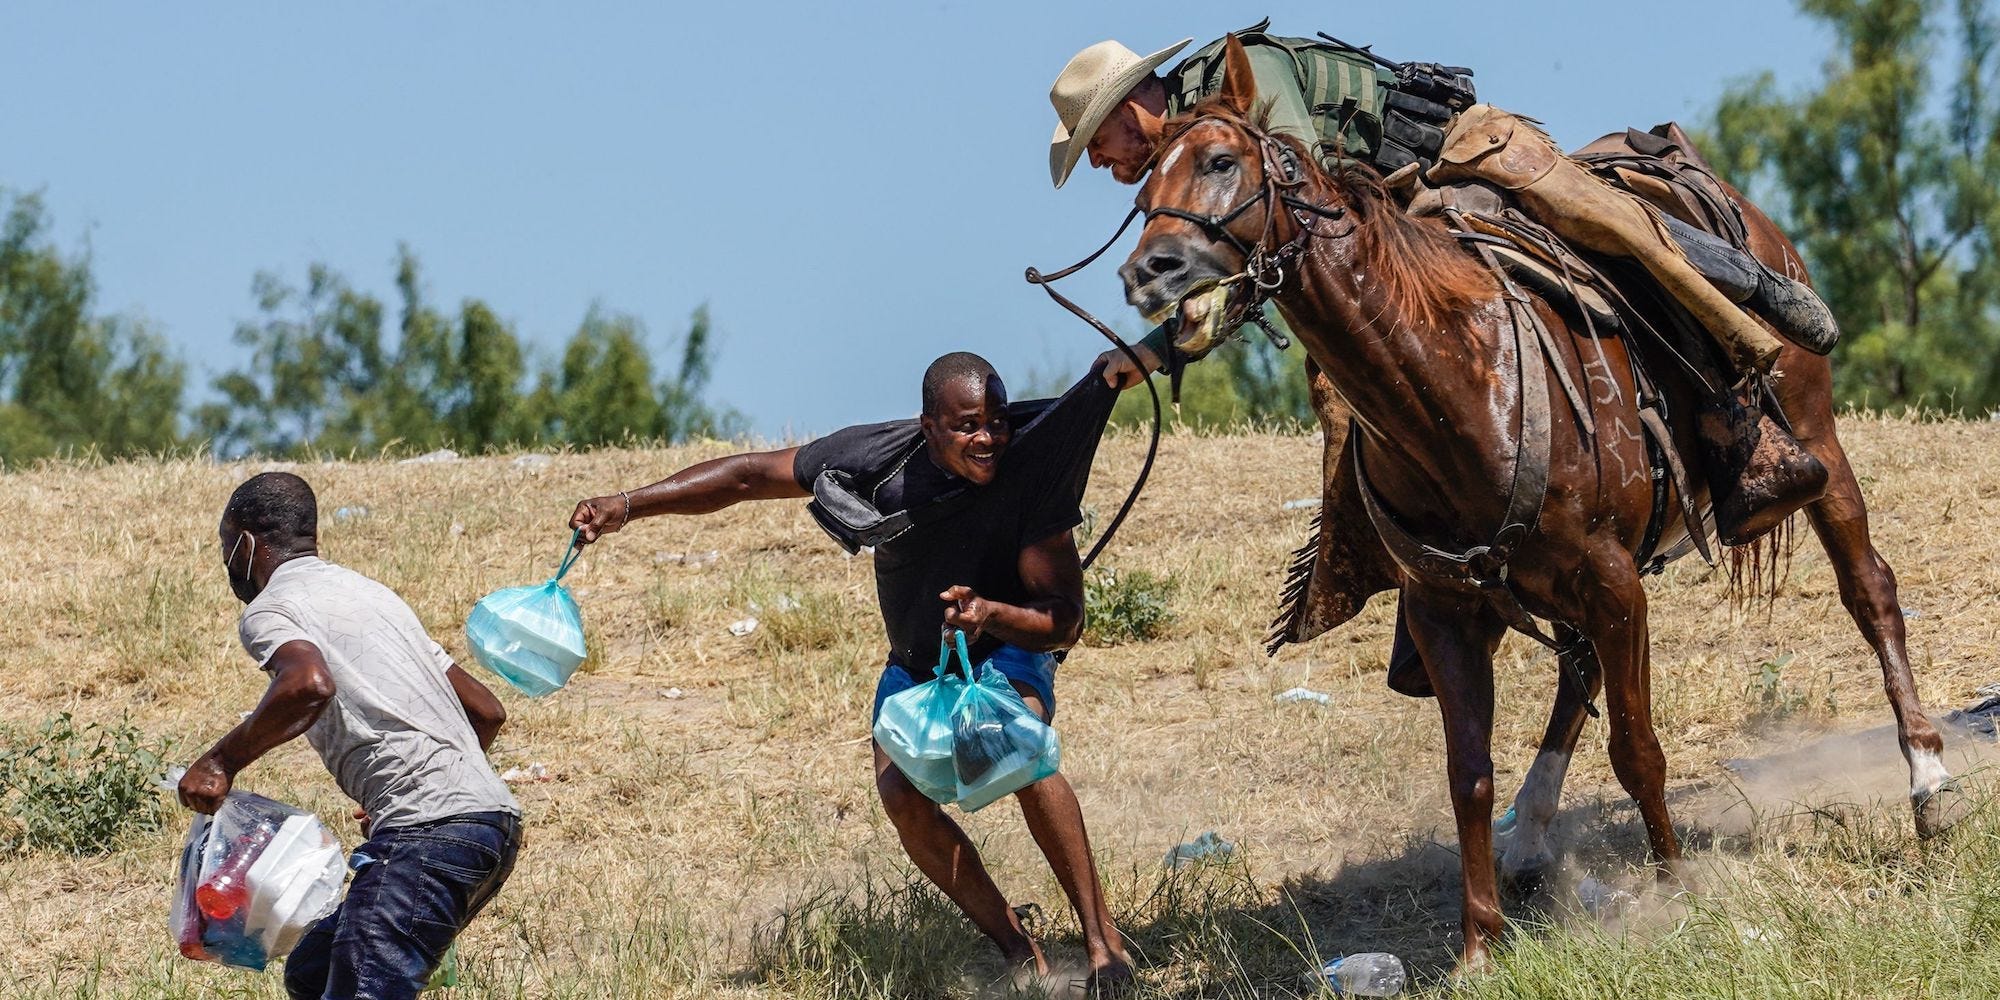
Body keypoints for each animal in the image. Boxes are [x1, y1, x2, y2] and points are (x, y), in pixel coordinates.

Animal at [1128, 37, 1968, 968]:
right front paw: (1478, 945)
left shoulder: (1611, 579)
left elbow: (1637, 748)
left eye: (1221, 162)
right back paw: (1529, 835)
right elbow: (1468, 774)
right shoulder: (1448, 609)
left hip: (1816, 439)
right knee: (1578, 673)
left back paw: (1929, 781)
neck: (1454, 377)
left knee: (1870, 591)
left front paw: (1677, 890)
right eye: (1142, 191)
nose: (1147, 272)